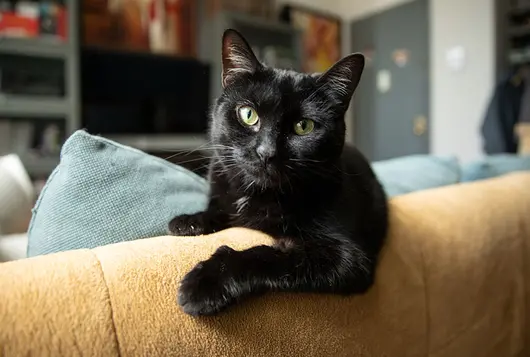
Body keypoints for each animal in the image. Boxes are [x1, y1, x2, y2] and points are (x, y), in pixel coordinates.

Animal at [169, 29, 388, 314]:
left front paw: (205, 283)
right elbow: (219, 210)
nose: (266, 152)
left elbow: (267, 255)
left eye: (304, 126)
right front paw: (190, 220)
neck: (258, 195)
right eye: (248, 114)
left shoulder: (348, 258)